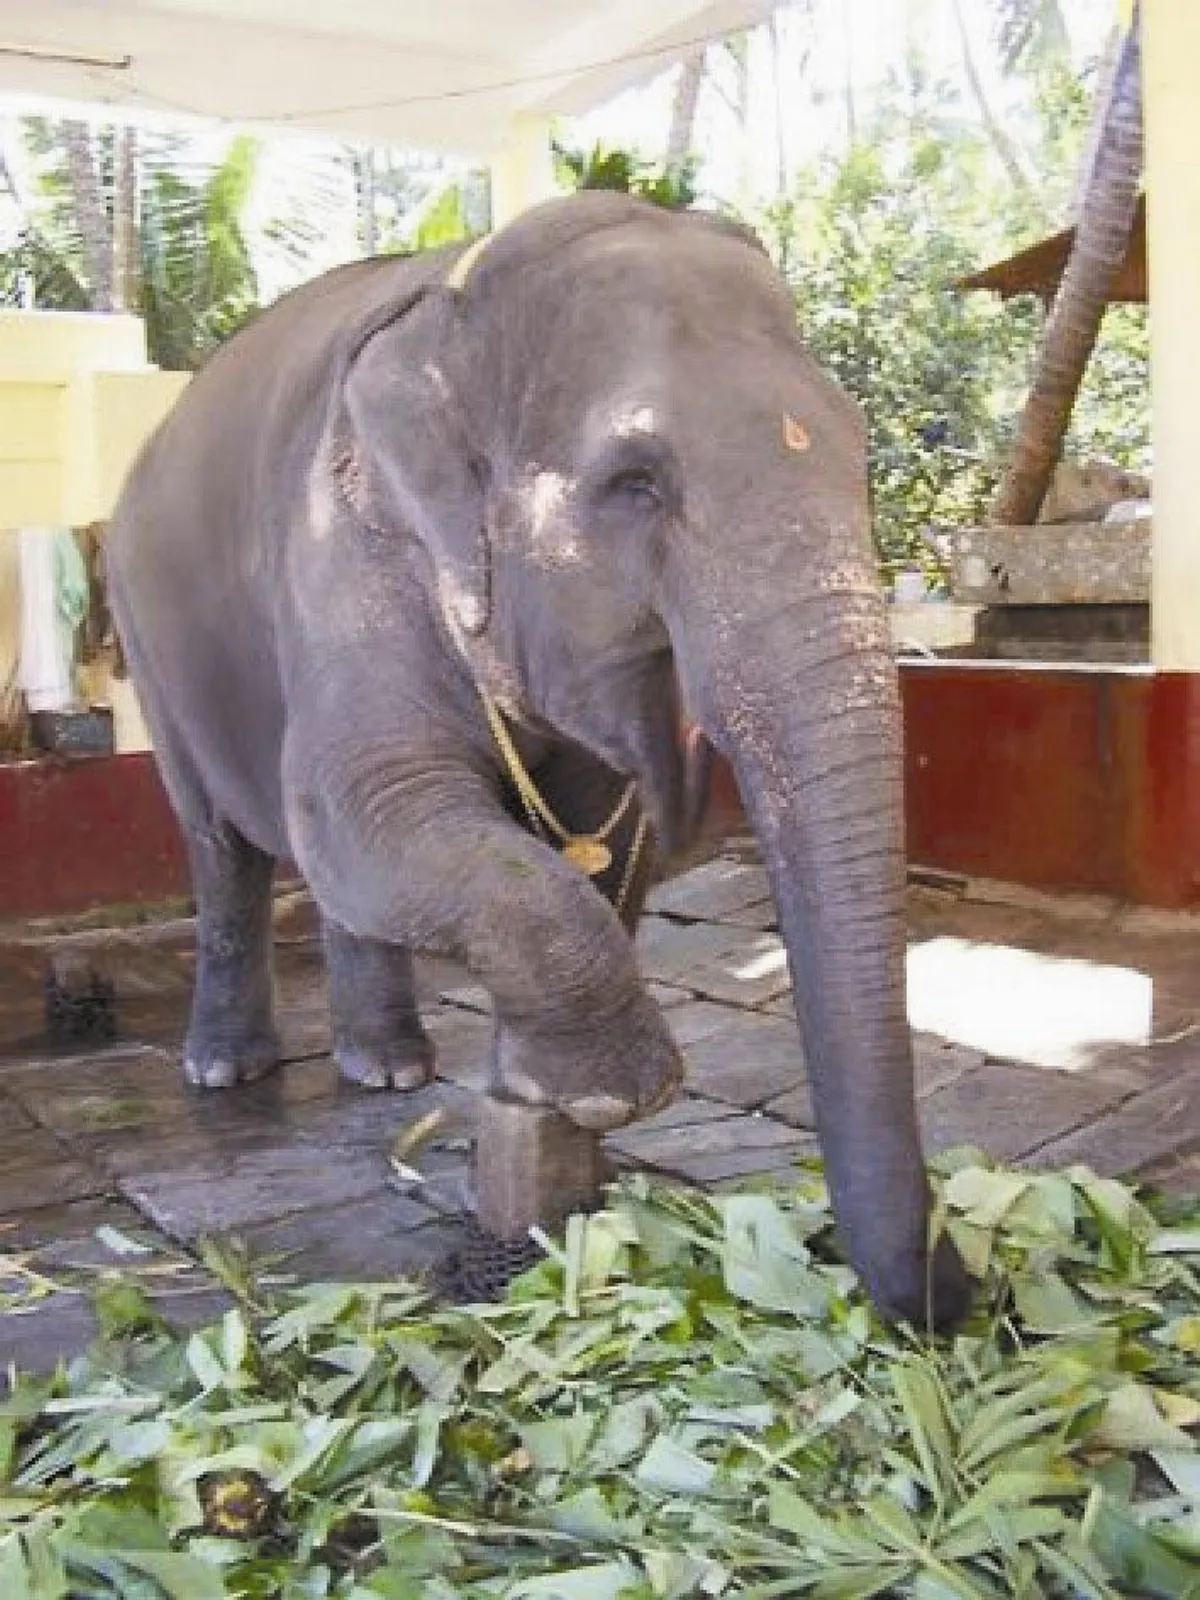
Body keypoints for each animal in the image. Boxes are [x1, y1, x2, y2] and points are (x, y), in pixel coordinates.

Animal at [107, 191, 968, 1329]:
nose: (953, 1293)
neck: (465, 292)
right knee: (221, 844)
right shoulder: (343, 550)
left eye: (861, 453)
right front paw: (611, 1092)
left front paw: (541, 1110)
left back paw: (389, 1071)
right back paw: (223, 1070)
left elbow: (595, 836)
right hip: (144, 634)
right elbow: (354, 806)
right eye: (635, 482)